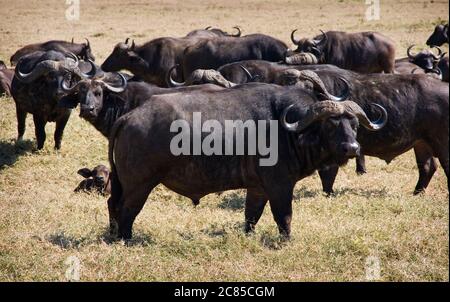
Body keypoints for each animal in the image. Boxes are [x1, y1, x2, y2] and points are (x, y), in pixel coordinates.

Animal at [106, 82, 386, 238]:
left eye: (353, 125)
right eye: (330, 125)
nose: (352, 148)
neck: (287, 128)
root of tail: (129, 117)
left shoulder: (257, 188)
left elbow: (251, 216)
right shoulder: (280, 185)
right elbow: (284, 216)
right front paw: (287, 241)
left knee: (113, 204)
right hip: (139, 186)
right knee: (127, 210)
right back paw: (125, 238)